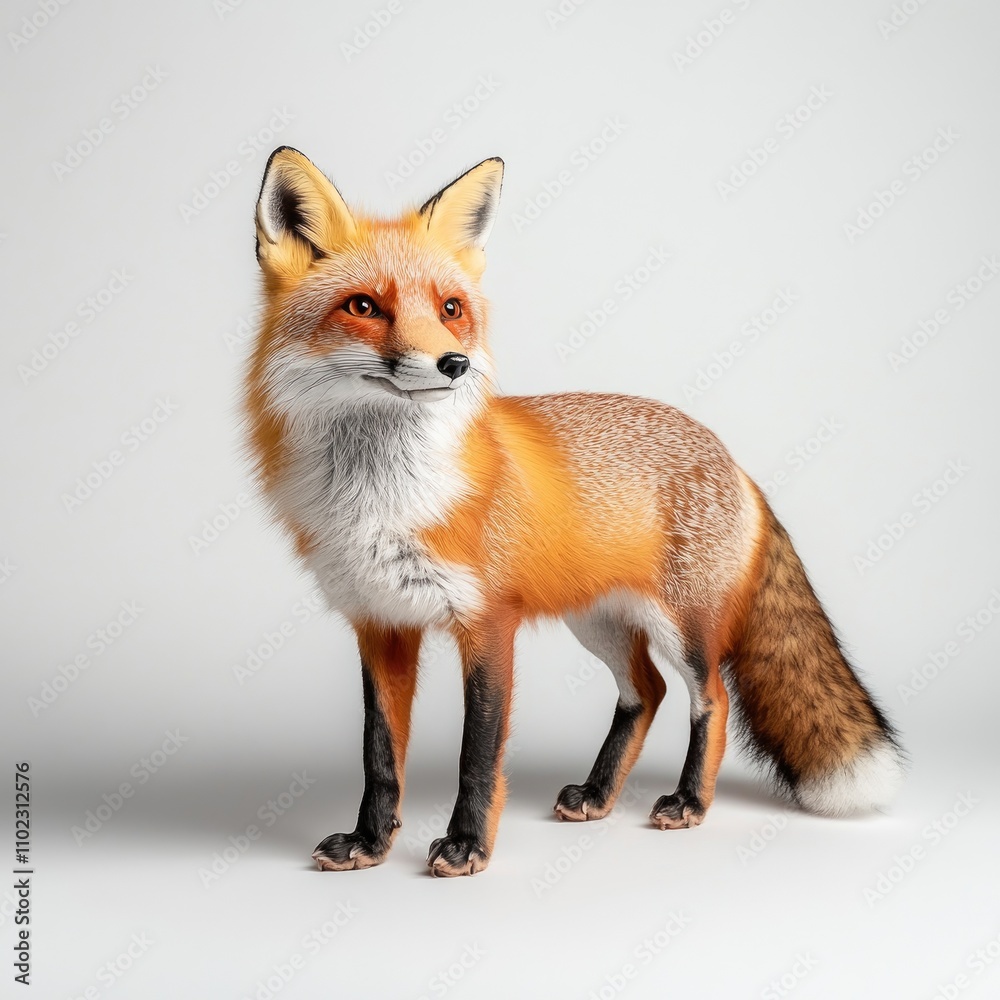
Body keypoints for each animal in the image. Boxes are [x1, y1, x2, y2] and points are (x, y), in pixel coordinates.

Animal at [244, 146, 904, 877]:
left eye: (451, 308)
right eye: (363, 306)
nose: (454, 364)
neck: (382, 498)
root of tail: (730, 457)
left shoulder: (488, 625)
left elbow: (477, 755)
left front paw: (467, 845)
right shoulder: (381, 623)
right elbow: (380, 756)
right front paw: (369, 842)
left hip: (684, 626)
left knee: (712, 697)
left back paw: (689, 802)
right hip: (599, 621)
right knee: (647, 692)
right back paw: (598, 792)